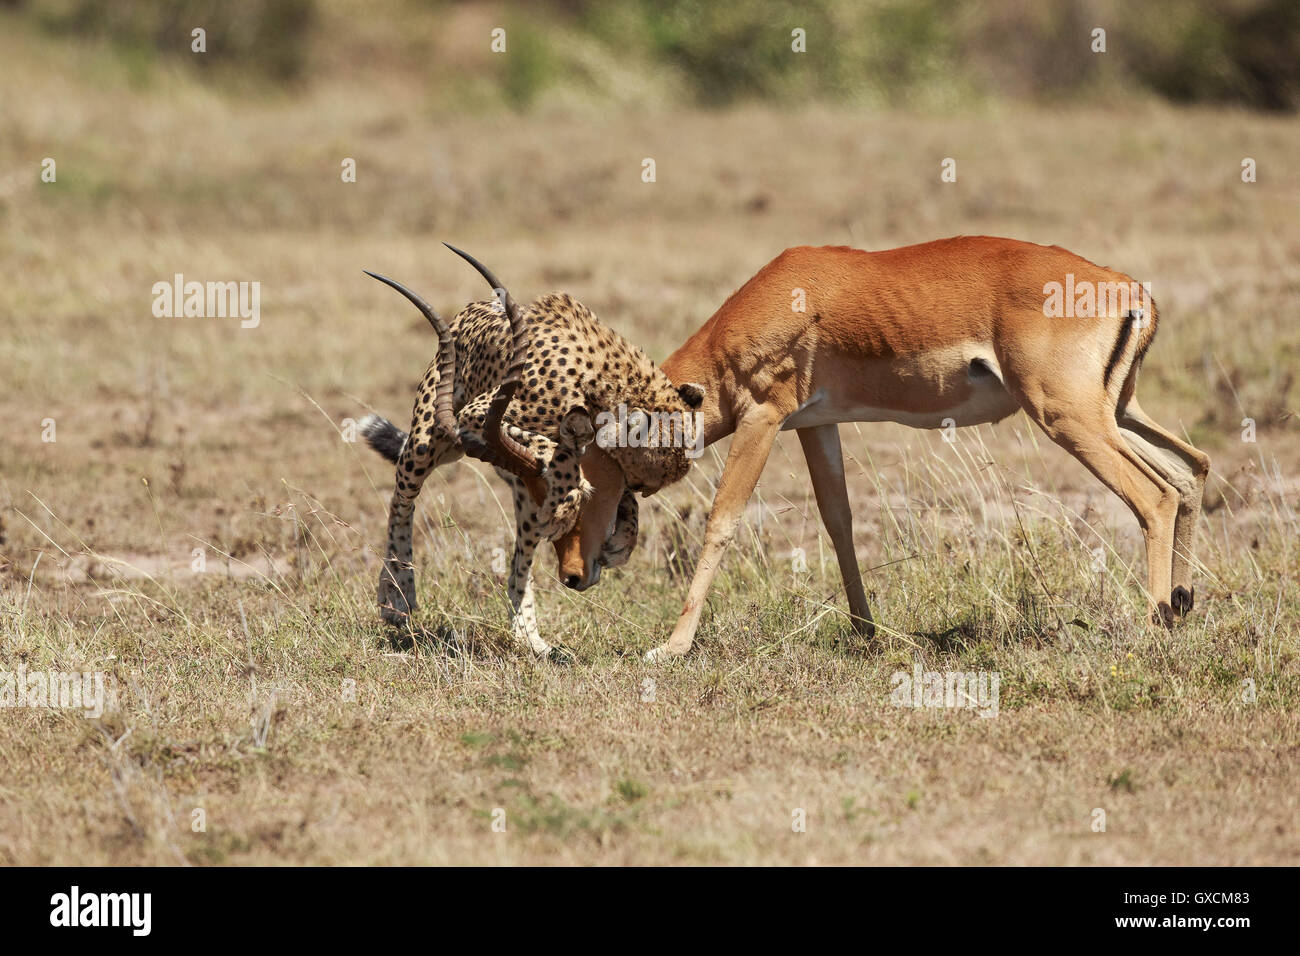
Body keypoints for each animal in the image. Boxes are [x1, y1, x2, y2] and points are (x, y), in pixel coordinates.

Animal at [358, 244, 702, 658]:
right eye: (660, 472)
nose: (645, 489)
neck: (606, 383)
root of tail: (471, 307)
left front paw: (619, 538)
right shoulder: (475, 414)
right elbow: (553, 450)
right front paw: (572, 494)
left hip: (519, 497)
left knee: (520, 560)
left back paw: (528, 636)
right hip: (427, 440)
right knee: (401, 502)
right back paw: (396, 595)